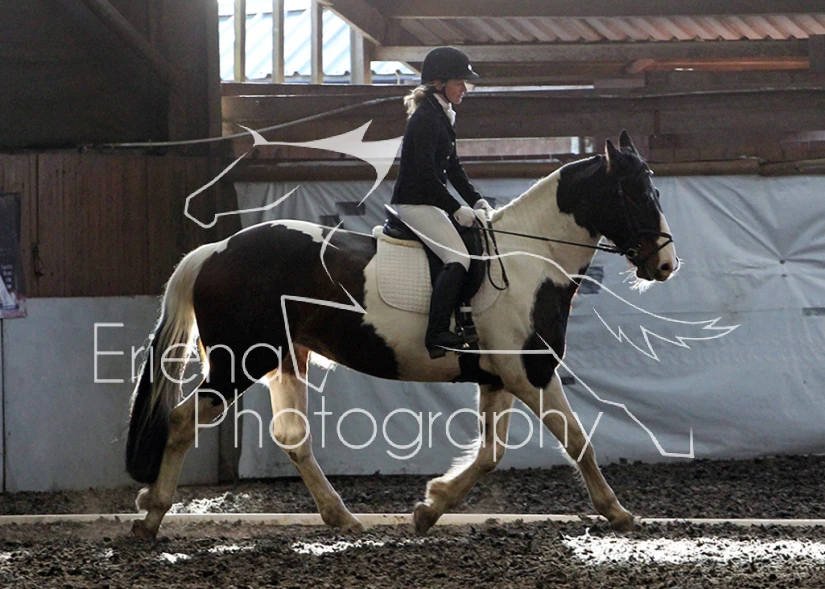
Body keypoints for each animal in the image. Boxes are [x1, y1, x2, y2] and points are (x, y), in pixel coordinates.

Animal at [126, 130, 678, 538]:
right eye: (635, 193)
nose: (666, 265)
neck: (530, 260)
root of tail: (217, 249)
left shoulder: (499, 377)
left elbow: (491, 454)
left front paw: (430, 507)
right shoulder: (532, 373)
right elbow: (577, 439)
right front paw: (618, 512)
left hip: (284, 358)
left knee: (293, 439)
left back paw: (341, 518)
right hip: (240, 360)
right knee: (182, 421)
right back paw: (152, 514)